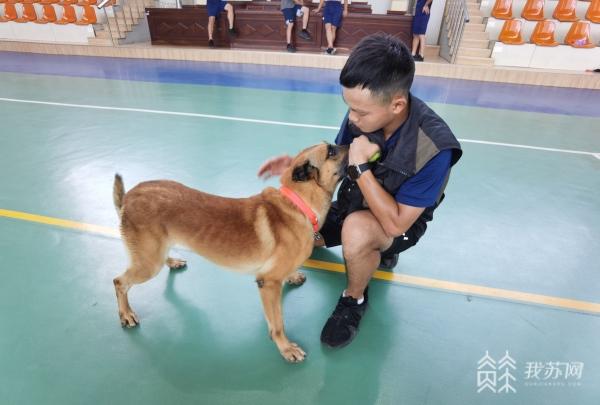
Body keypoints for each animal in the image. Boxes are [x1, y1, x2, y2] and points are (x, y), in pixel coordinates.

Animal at [112, 142, 350, 360]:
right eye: (331, 151)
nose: (353, 141)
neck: (298, 204)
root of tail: (128, 197)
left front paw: (292, 276)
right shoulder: (268, 284)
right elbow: (277, 324)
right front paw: (285, 348)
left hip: (155, 254)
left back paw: (172, 262)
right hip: (148, 265)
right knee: (119, 282)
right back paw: (126, 314)